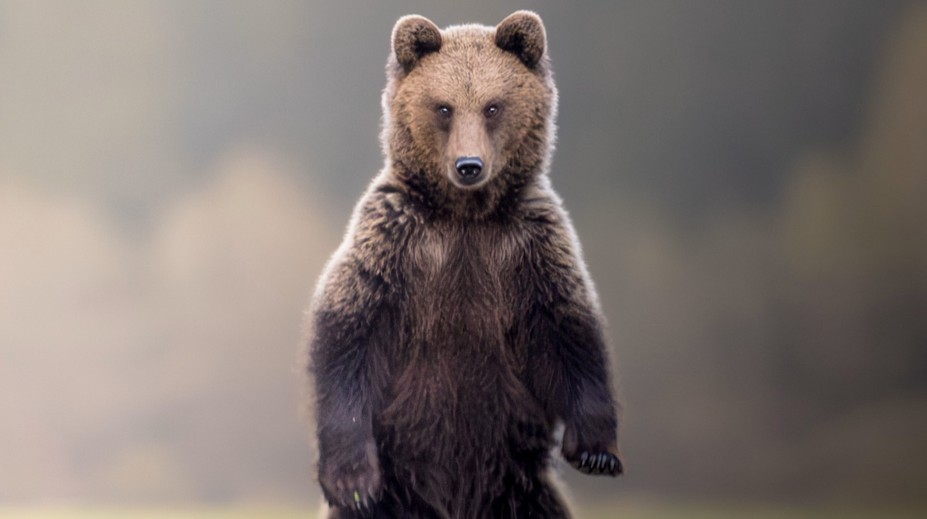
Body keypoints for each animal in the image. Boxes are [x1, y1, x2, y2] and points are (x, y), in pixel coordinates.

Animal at [306, 11, 622, 518]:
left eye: (493, 106)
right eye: (444, 107)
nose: (468, 165)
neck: (465, 216)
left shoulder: (530, 249)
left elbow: (568, 331)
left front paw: (597, 450)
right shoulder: (396, 242)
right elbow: (349, 333)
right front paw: (351, 479)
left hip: (520, 490)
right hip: (404, 493)